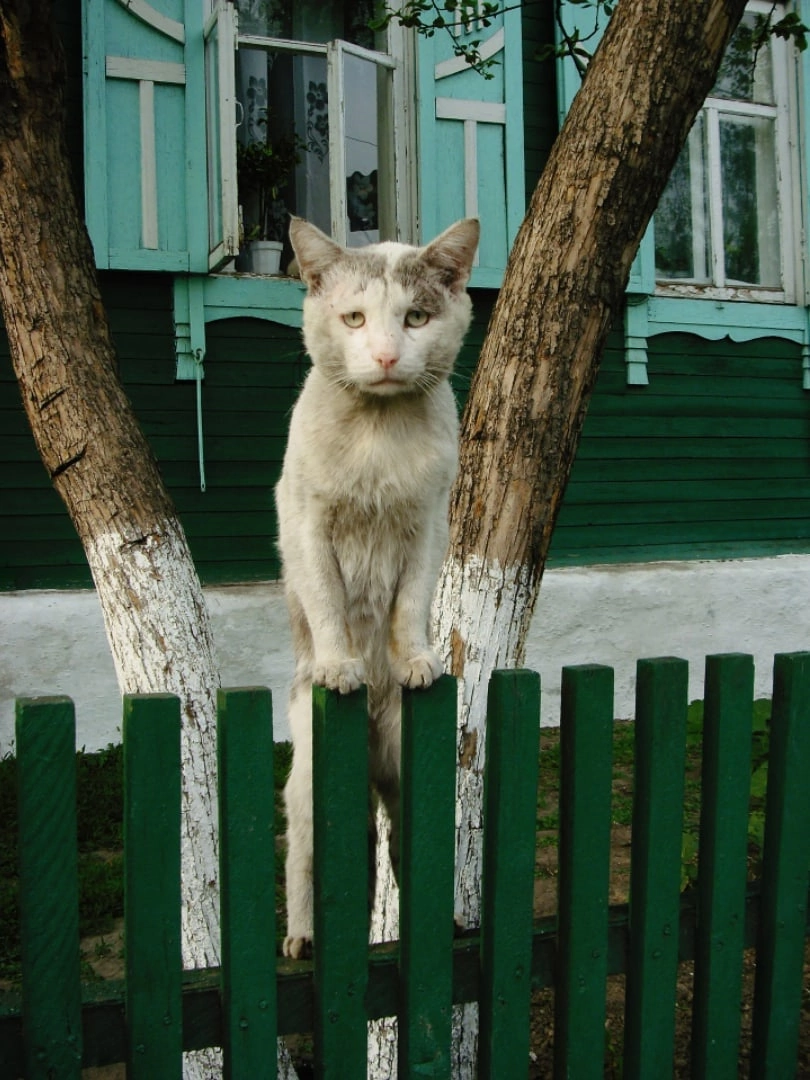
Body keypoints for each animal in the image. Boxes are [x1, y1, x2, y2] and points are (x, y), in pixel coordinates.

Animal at [278, 214, 481, 959]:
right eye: (355, 318)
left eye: (416, 317)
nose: (390, 356)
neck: (378, 432)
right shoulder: (307, 523)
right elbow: (330, 604)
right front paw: (342, 666)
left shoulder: (428, 527)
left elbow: (409, 607)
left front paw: (416, 661)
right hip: (311, 783)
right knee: (308, 857)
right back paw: (305, 939)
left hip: (412, 781)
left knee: (404, 853)